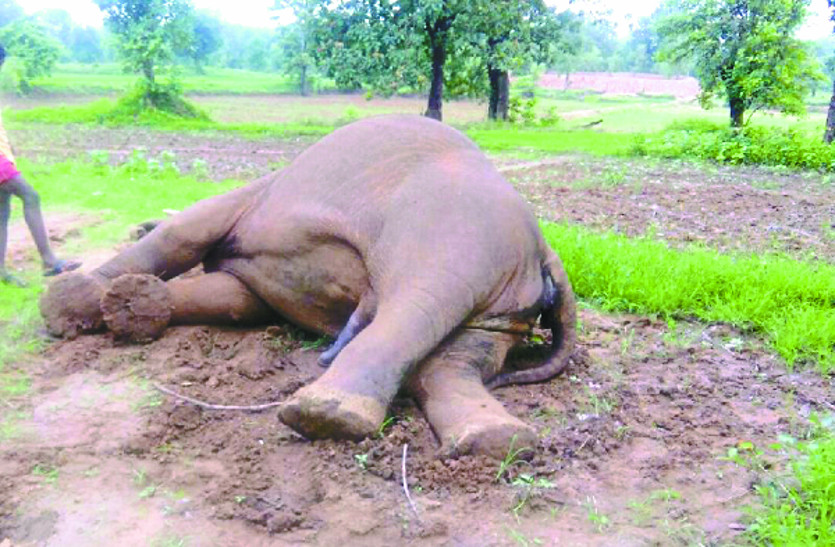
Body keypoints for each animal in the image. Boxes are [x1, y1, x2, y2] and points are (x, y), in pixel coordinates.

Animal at [40, 115, 576, 458]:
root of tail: (545, 247)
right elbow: (236, 299)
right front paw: (131, 305)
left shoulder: (255, 195)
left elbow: (185, 231)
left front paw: (68, 305)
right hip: (504, 300)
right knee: (455, 358)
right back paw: (495, 441)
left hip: (450, 235)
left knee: (415, 306)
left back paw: (325, 414)